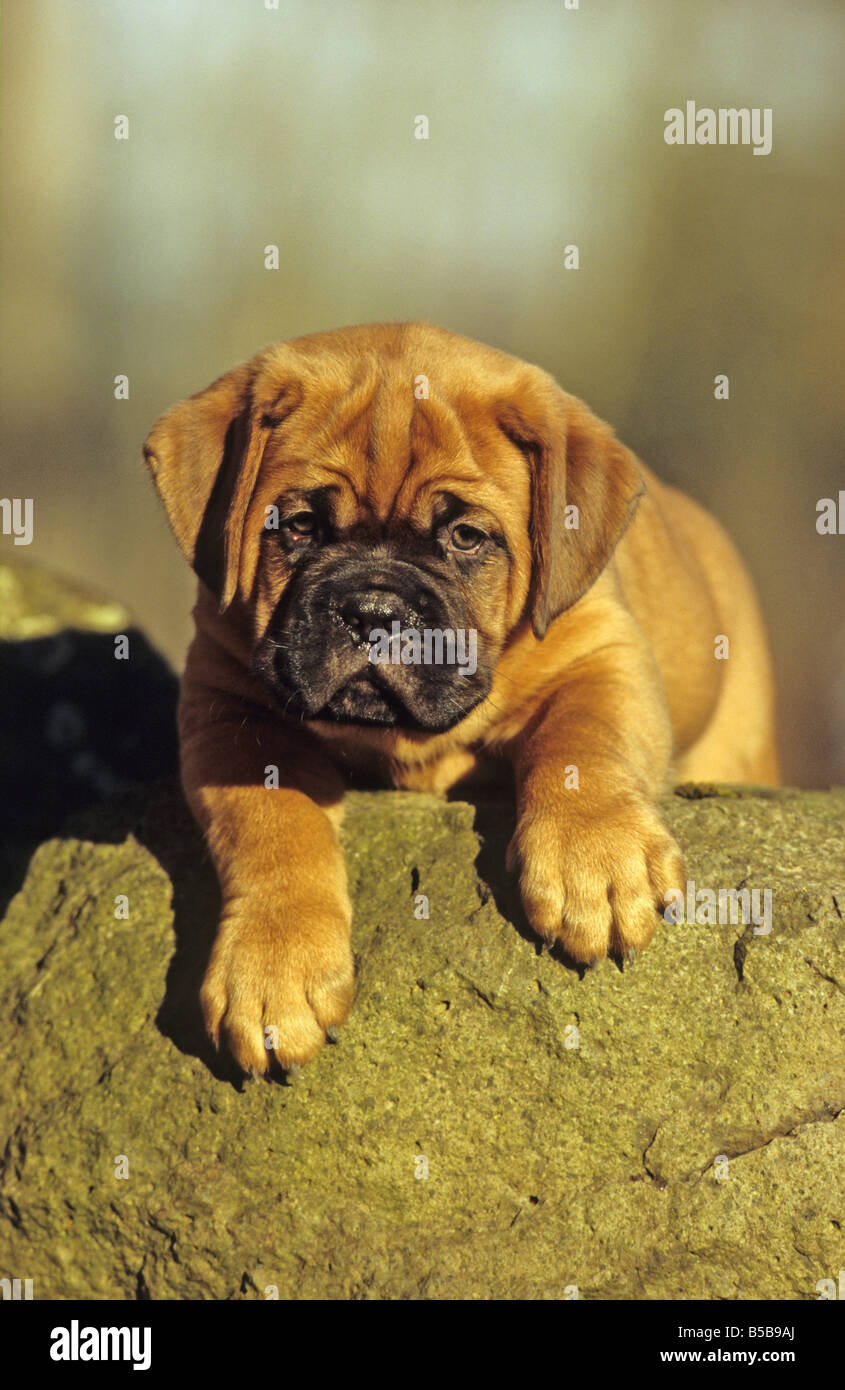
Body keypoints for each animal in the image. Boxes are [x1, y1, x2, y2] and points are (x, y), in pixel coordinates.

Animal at [143, 322, 778, 1073]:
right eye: (298, 526)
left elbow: (583, 741)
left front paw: (594, 863)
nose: (373, 612)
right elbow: (271, 824)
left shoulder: (599, 650)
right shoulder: (226, 705)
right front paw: (273, 968)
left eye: (465, 536)